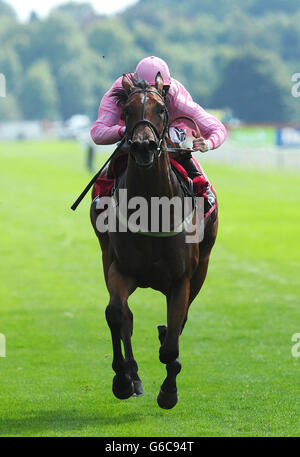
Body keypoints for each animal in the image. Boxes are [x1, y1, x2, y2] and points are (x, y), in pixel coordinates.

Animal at [89, 72, 218, 410]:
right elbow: (117, 315)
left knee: (178, 322)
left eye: (161, 109)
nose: (144, 146)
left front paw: (169, 390)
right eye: (126, 111)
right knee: (126, 318)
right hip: (106, 256)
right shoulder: (120, 269)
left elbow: (173, 337)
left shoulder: (182, 279)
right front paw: (123, 379)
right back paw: (133, 378)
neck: (152, 209)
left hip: (202, 268)